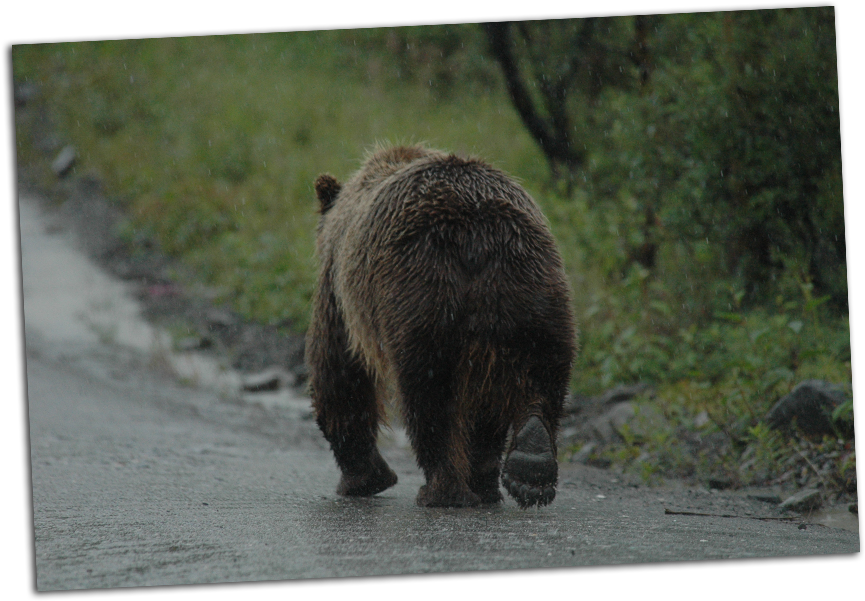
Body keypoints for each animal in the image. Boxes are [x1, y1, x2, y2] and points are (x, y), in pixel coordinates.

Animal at [305, 145, 576, 508]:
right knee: (540, 372)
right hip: (533, 287)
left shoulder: (339, 292)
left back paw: (440, 489)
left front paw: (363, 478)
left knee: (430, 393)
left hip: (421, 291)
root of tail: (477, 232)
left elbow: (339, 374)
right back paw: (529, 466)